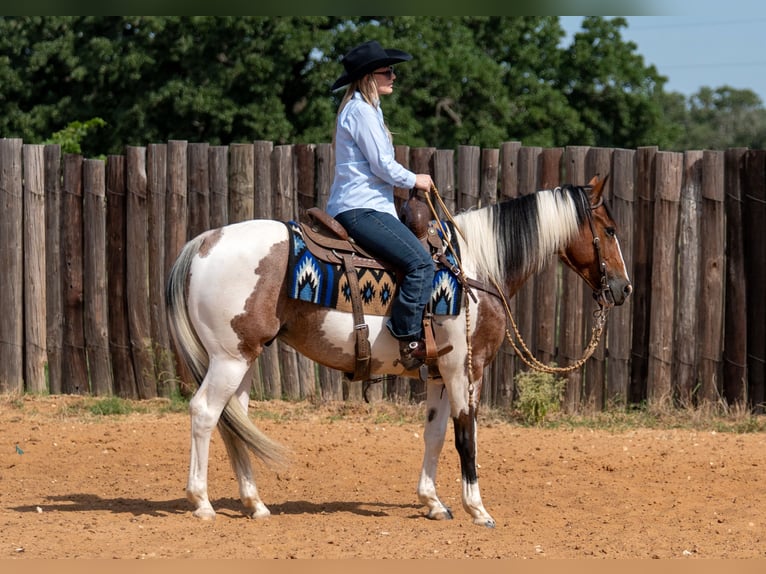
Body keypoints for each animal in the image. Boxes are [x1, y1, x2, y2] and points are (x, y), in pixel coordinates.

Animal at [165, 175, 632, 528]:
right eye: (609, 230)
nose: (623, 288)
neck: (476, 269)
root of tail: (204, 242)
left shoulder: (441, 372)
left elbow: (435, 435)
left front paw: (433, 502)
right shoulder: (467, 369)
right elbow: (466, 434)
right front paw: (477, 509)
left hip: (244, 358)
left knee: (235, 421)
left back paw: (255, 504)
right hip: (229, 359)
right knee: (205, 413)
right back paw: (202, 503)